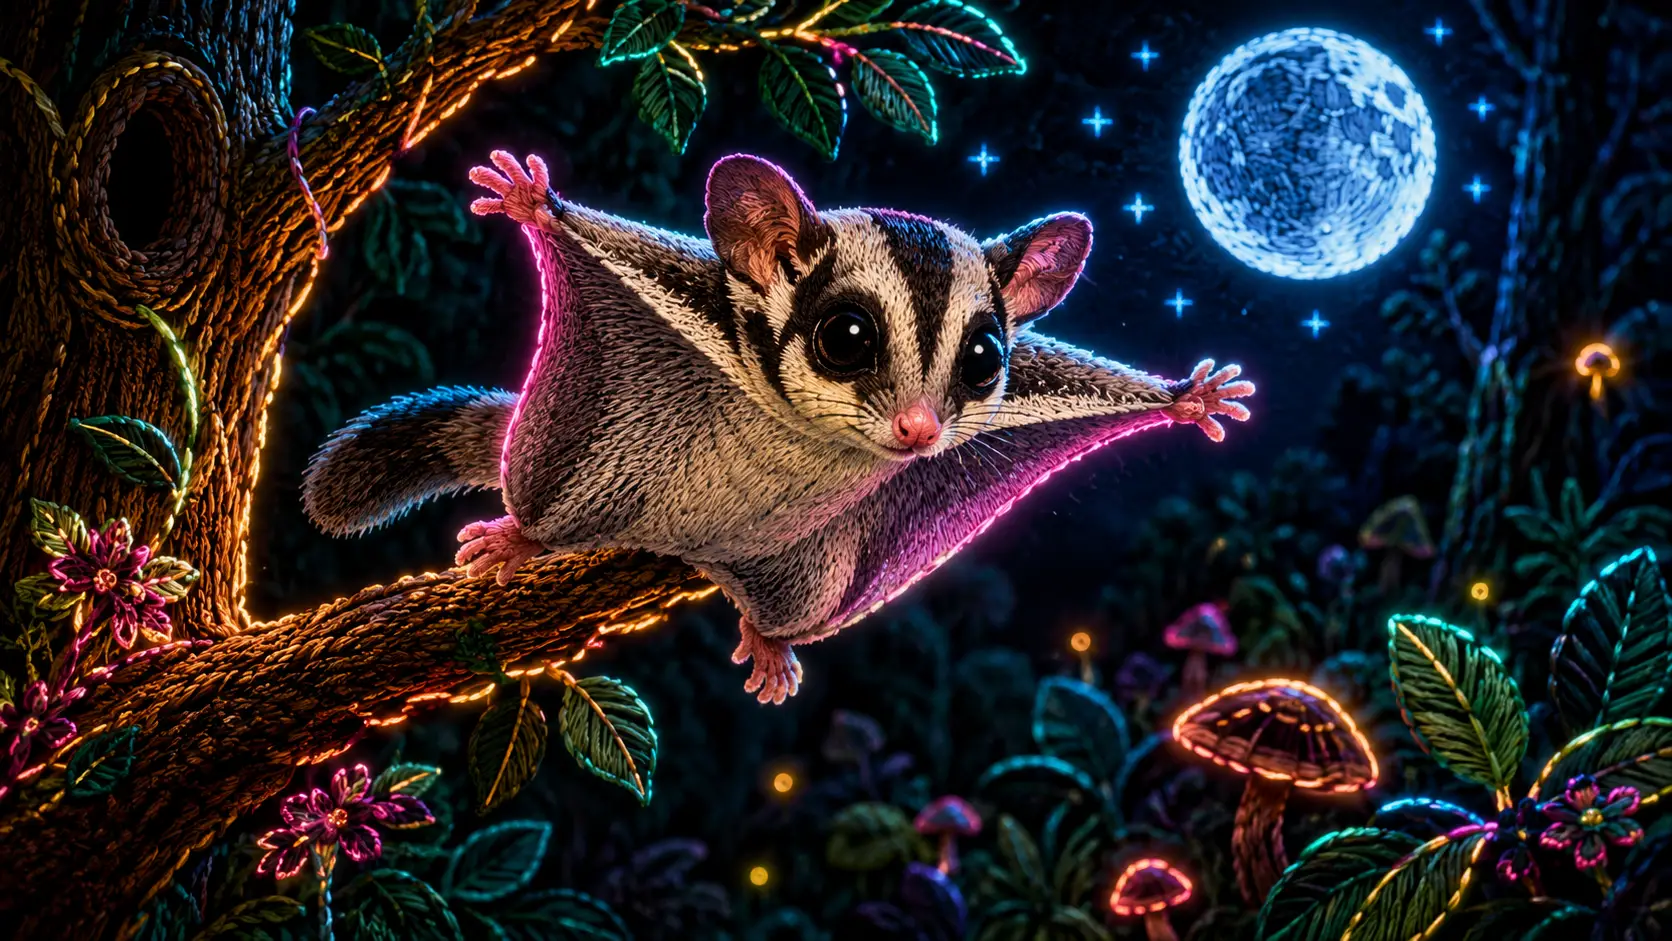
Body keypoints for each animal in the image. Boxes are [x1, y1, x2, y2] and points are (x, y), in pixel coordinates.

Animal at [302, 151, 1254, 704]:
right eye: (848, 337)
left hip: (811, 569)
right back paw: (525, 537)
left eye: (985, 358)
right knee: (548, 493)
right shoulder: (676, 300)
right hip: (582, 465)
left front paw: (1187, 398)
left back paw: (768, 635)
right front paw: (537, 204)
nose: (919, 429)